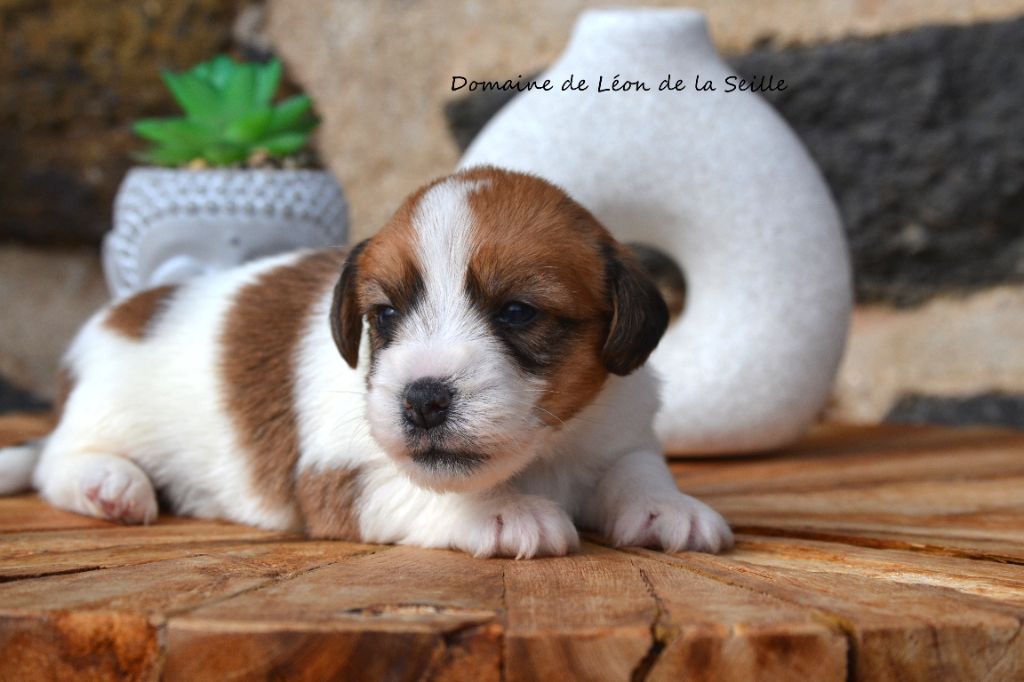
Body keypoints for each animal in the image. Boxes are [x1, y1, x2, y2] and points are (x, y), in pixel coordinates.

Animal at [2, 165, 737, 557]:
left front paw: (667, 506)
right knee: (53, 461)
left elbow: (637, 470)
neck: (542, 453)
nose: (423, 400)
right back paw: (108, 482)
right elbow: (428, 489)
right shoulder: (342, 475)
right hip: (101, 414)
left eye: (516, 312)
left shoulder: (620, 428)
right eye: (384, 316)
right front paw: (503, 510)